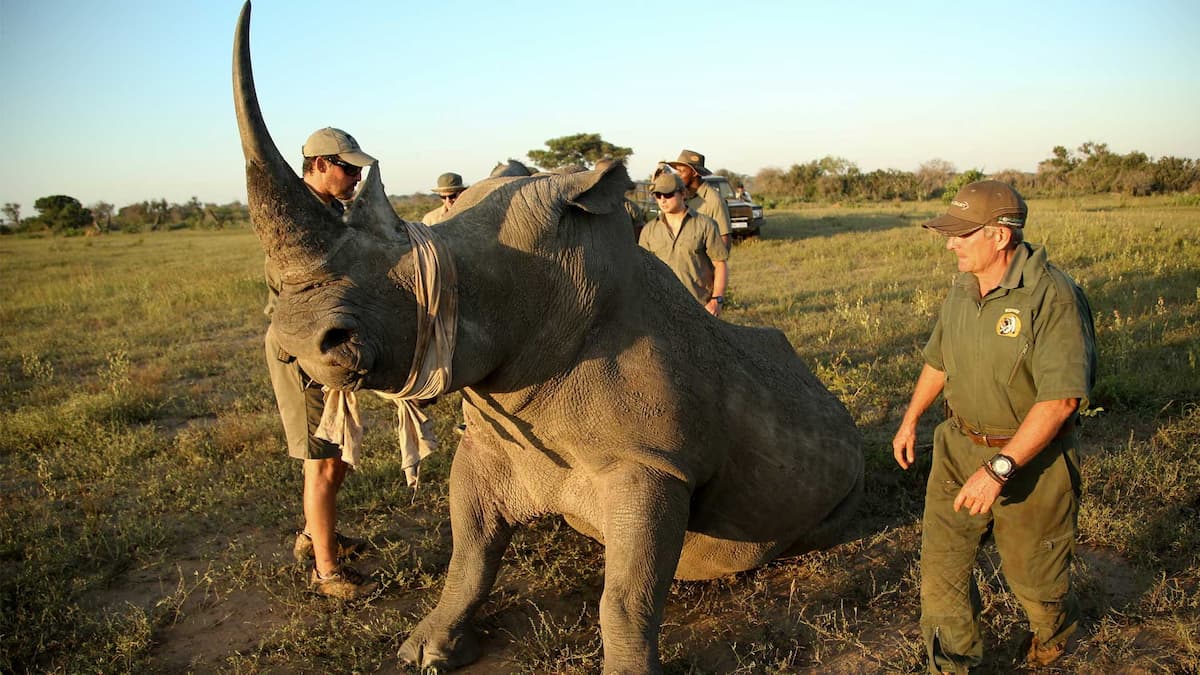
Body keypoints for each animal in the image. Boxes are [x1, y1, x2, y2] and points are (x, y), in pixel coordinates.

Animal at [233, 3, 863, 672]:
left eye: (439, 274)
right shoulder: (492, 441)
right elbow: (469, 558)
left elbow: (626, 596)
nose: (298, 342)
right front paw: (424, 650)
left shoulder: (652, 466)